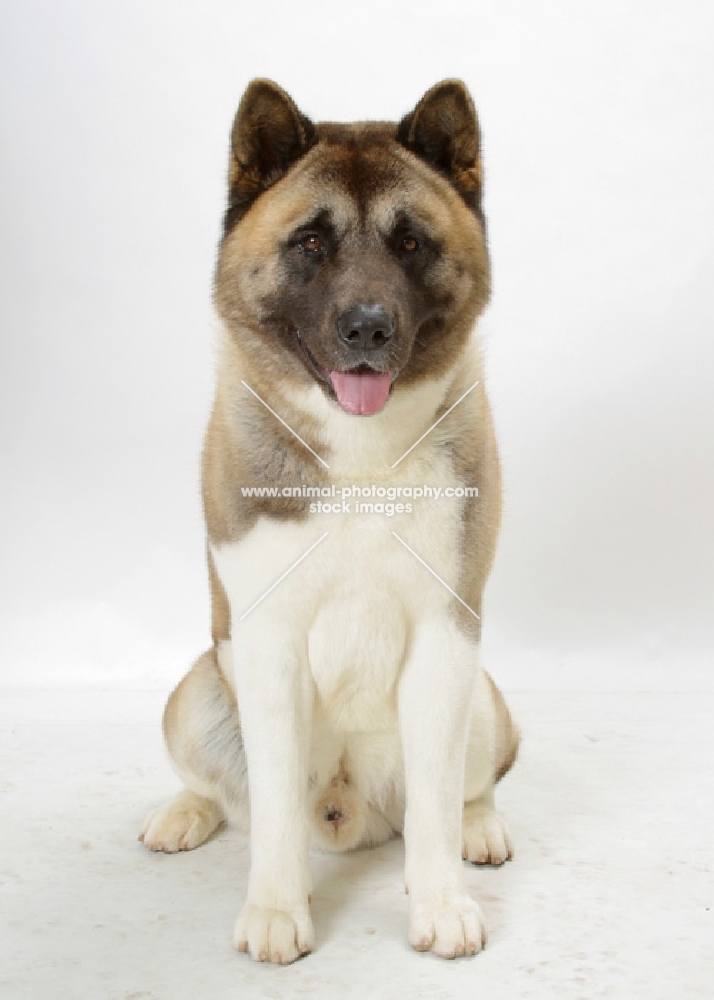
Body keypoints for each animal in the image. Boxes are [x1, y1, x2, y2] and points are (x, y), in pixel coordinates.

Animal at [139, 74, 516, 964]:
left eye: (410, 243)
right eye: (311, 243)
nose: (368, 327)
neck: (360, 459)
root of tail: (350, 812)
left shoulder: (447, 637)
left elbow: (436, 805)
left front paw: (441, 903)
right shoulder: (267, 644)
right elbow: (273, 806)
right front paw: (278, 910)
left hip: (483, 699)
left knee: (464, 790)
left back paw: (479, 830)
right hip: (197, 694)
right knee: (226, 792)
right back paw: (184, 814)